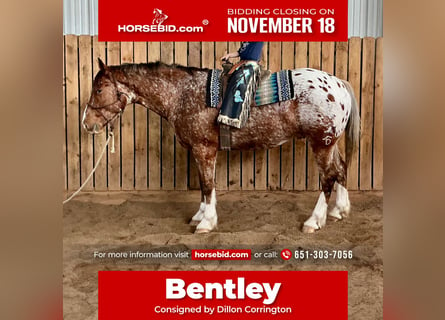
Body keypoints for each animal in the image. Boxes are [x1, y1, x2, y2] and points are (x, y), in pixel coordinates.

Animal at [81, 58, 360, 232]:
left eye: (99, 89)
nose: (86, 123)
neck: (182, 93)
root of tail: (339, 84)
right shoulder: (199, 150)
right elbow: (204, 185)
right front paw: (200, 215)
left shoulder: (204, 148)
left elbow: (207, 184)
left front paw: (206, 222)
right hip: (330, 143)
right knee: (341, 169)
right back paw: (339, 210)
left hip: (321, 143)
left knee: (328, 178)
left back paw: (314, 220)